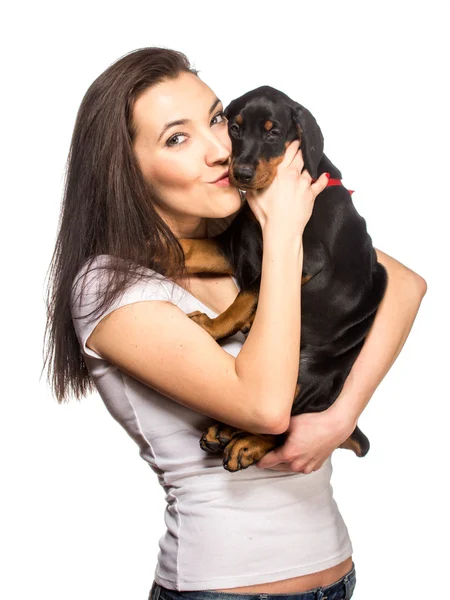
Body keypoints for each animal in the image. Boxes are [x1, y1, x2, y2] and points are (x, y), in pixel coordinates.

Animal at [179, 84, 386, 472]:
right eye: (234, 128)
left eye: (273, 132)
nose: (242, 173)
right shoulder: (231, 245)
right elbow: (186, 248)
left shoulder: (301, 258)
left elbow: (247, 294)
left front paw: (212, 327)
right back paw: (224, 430)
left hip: (307, 373)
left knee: (287, 421)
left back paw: (246, 443)